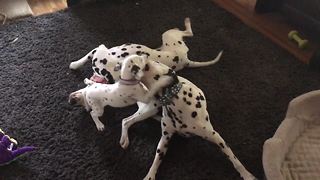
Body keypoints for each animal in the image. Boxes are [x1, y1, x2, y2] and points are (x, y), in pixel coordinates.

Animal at [69, 17, 222, 83]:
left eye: (98, 71)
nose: (94, 75)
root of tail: (186, 61)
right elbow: (85, 57)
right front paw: (76, 64)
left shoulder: (100, 50)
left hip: (168, 34)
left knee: (189, 32)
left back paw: (186, 22)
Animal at [119, 55, 256, 180]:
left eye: (148, 64)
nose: (130, 62)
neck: (177, 104)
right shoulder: (164, 140)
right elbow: (156, 160)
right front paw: (150, 175)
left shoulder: (216, 137)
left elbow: (233, 158)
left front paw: (246, 174)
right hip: (149, 109)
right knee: (126, 121)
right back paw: (125, 139)